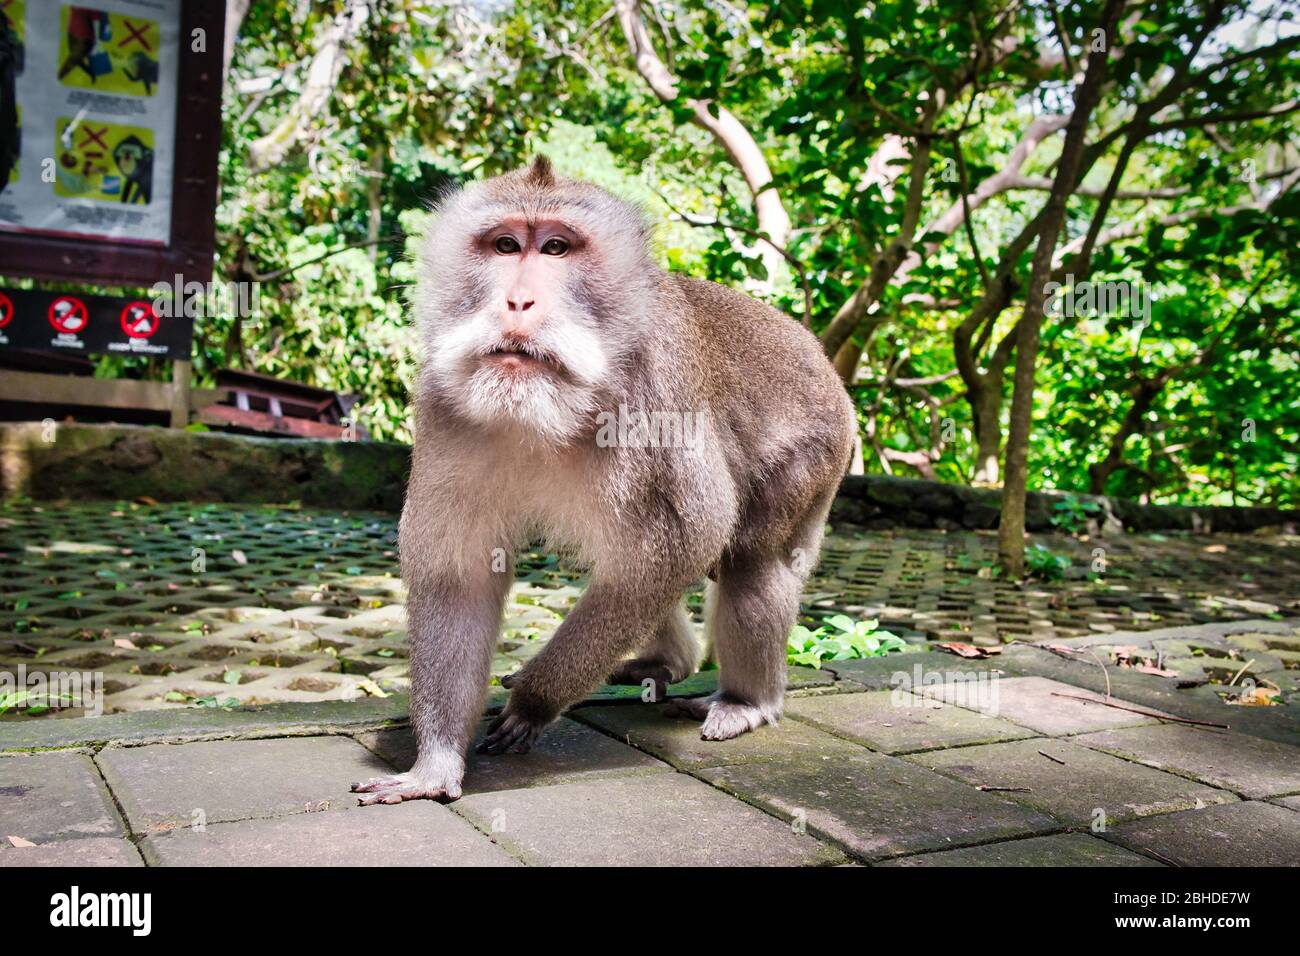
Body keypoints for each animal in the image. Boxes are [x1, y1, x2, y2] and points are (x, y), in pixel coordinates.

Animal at [351, 160, 857, 806]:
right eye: (506, 245)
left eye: (557, 247)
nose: (518, 300)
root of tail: (825, 367)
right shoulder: (445, 405)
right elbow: (458, 575)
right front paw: (435, 762)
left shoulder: (656, 393)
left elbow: (685, 541)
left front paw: (533, 702)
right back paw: (669, 661)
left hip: (813, 454)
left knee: (751, 561)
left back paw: (747, 701)